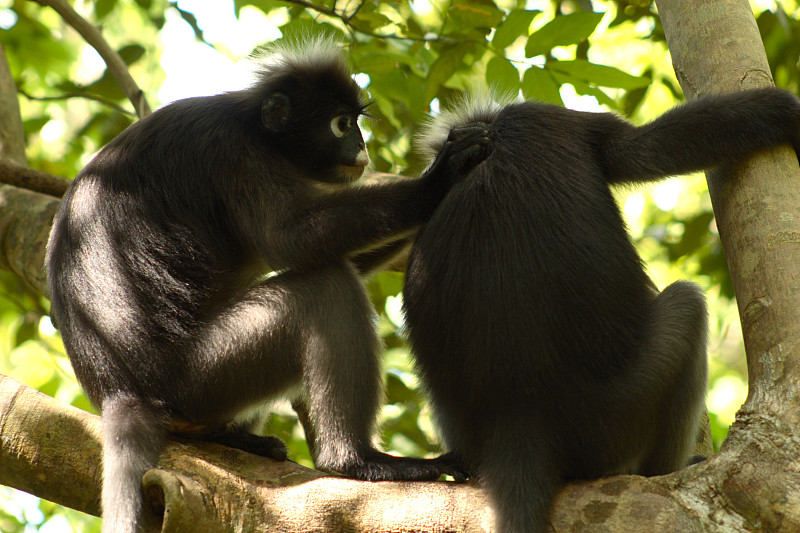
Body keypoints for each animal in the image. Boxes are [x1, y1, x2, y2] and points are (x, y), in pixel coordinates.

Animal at [47, 39, 490, 528]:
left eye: (356, 121)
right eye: (341, 123)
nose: (361, 145)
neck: (255, 126)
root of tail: (121, 393)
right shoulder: (236, 153)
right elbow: (291, 240)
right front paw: (438, 180)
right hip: (200, 377)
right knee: (326, 288)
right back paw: (358, 461)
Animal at [404, 88, 800, 532]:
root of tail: (520, 418)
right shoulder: (547, 116)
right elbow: (643, 148)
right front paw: (788, 113)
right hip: (622, 416)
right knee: (688, 304)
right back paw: (664, 471)